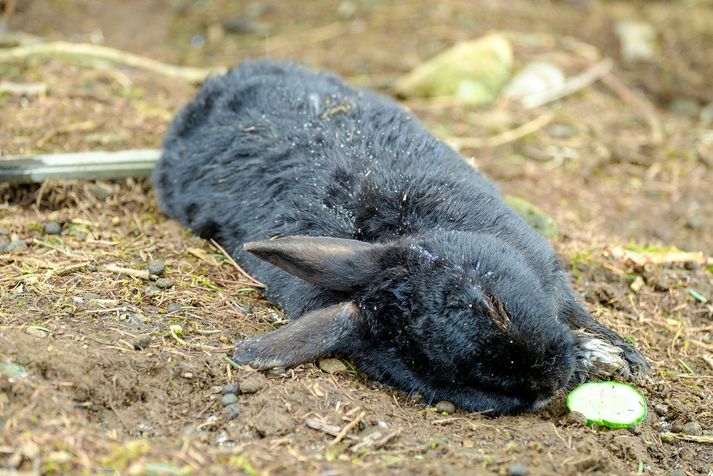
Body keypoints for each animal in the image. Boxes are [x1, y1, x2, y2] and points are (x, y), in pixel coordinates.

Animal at [153, 61, 648, 414]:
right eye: (445, 379)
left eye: (490, 303)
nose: (549, 382)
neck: (408, 230)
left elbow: (578, 312)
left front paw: (620, 356)